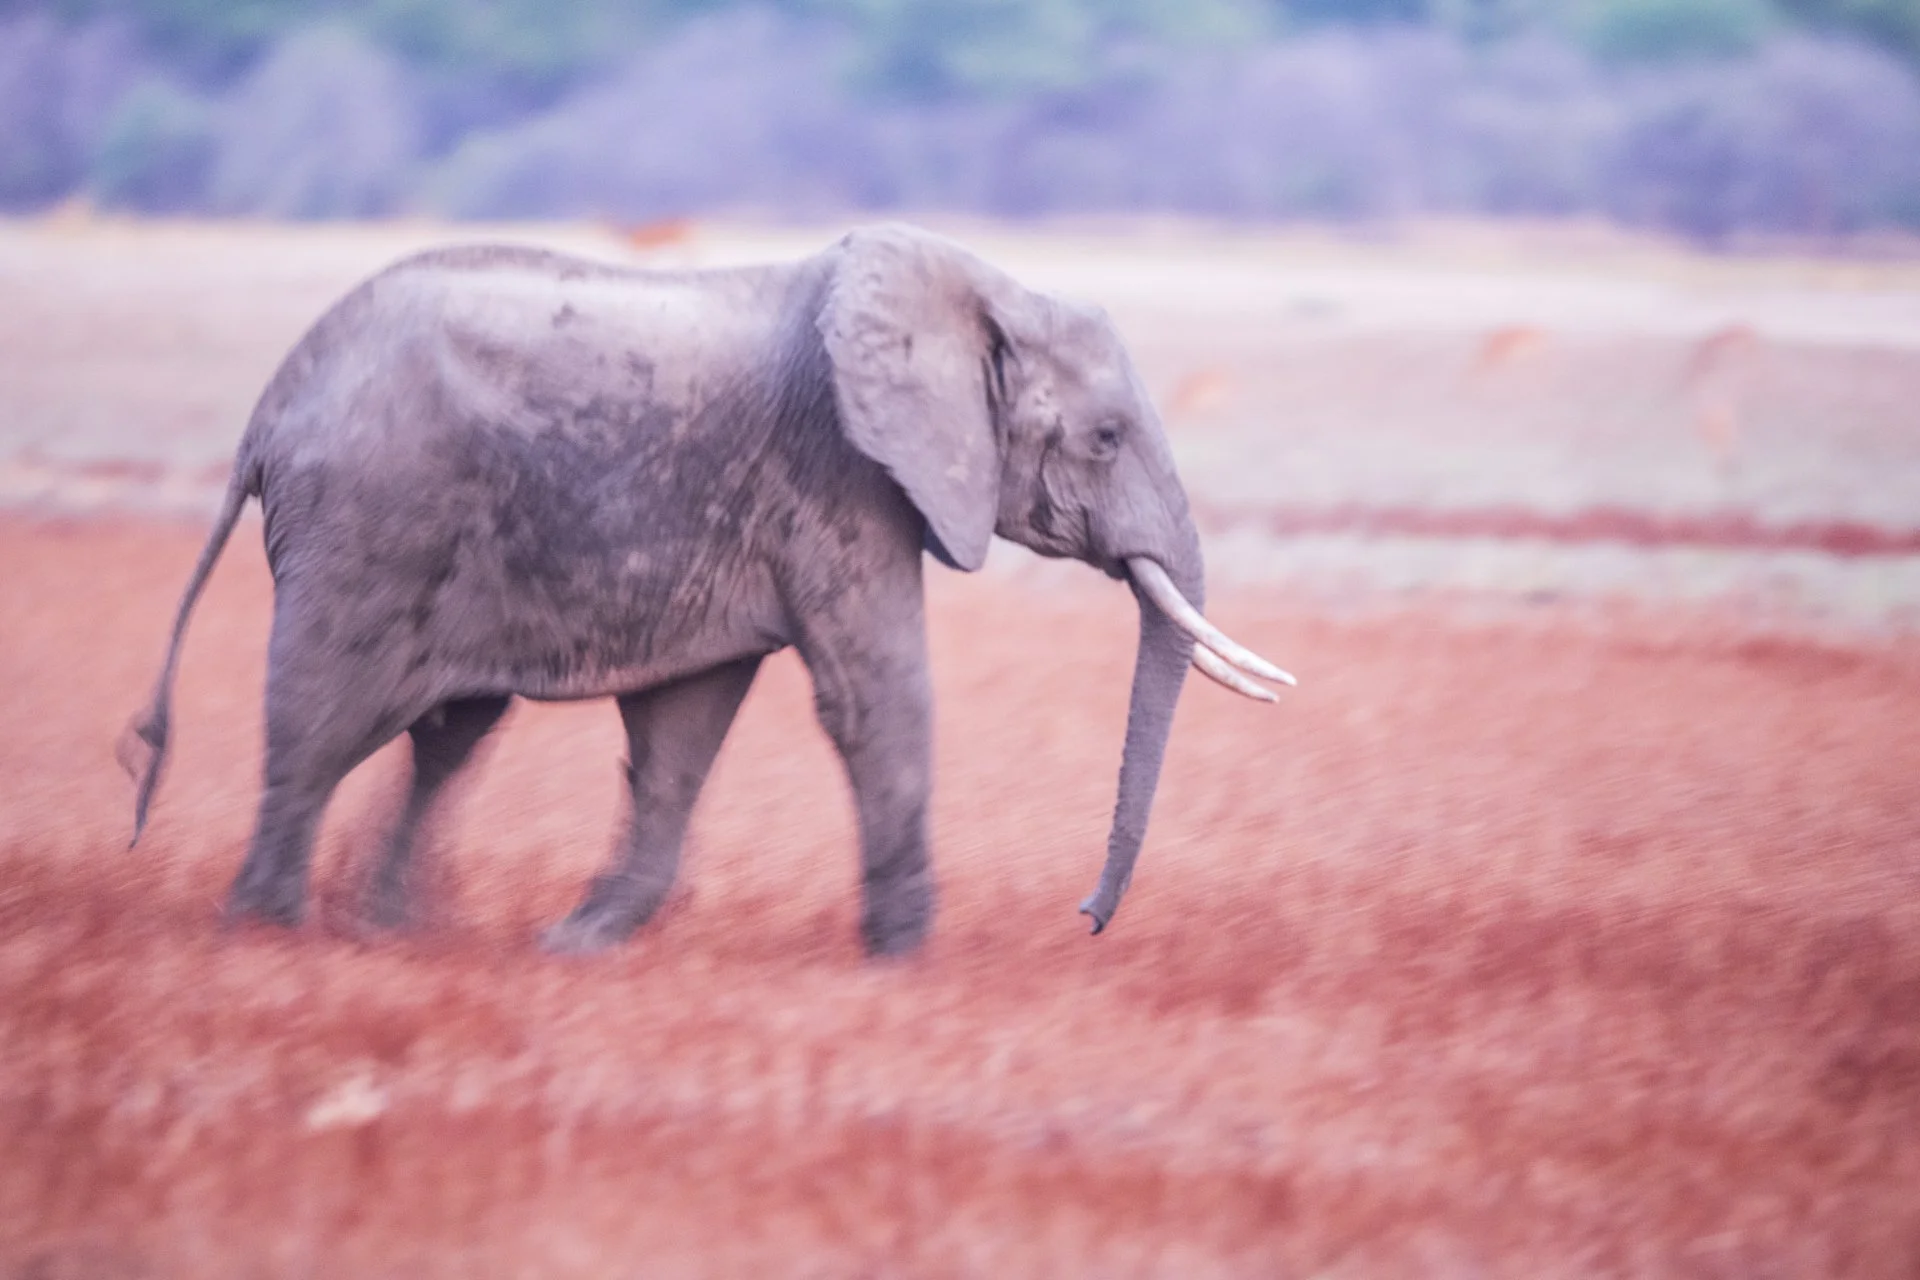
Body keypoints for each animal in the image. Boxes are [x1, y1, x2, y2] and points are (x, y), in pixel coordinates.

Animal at [122, 223, 1293, 957]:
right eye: (1106, 438)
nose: (1085, 918)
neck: (982, 291)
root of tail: (270, 408)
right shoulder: (845, 471)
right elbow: (878, 697)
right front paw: (907, 959)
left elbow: (684, 725)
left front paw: (577, 943)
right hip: (370, 519)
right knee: (322, 720)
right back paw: (269, 932)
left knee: (447, 732)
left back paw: (383, 930)